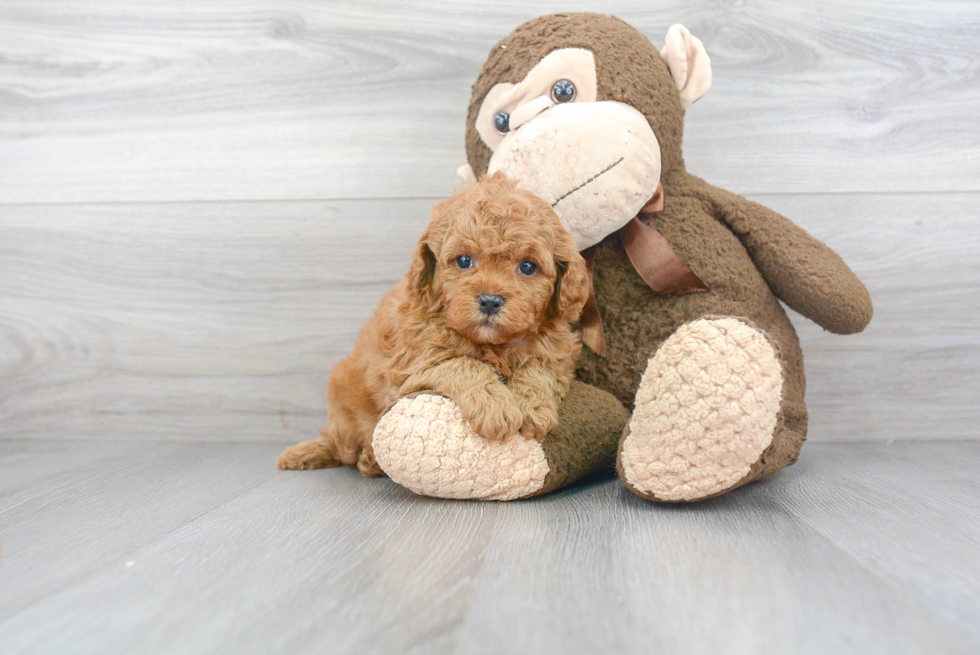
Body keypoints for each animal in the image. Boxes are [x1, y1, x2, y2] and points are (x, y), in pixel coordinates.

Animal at [280, 173, 592, 476]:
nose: (490, 301)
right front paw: (494, 406)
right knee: (343, 448)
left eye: (527, 266)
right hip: (343, 402)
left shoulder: (557, 353)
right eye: (464, 261)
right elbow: (463, 364)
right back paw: (361, 458)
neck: (493, 344)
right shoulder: (410, 367)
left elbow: (537, 369)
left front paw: (532, 408)